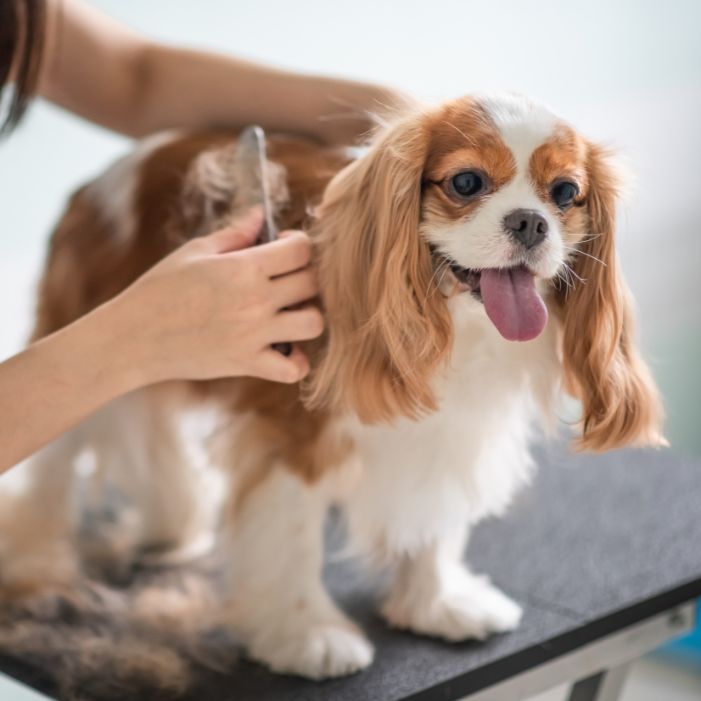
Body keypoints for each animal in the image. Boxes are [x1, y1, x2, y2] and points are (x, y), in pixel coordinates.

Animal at [0, 93, 660, 680]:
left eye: (566, 193)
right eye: (468, 183)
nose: (530, 221)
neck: (457, 327)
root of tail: (100, 181)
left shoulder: (447, 432)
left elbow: (435, 517)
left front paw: (436, 603)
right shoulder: (294, 436)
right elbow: (295, 539)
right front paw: (307, 637)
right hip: (89, 351)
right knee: (52, 472)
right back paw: (35, 563)